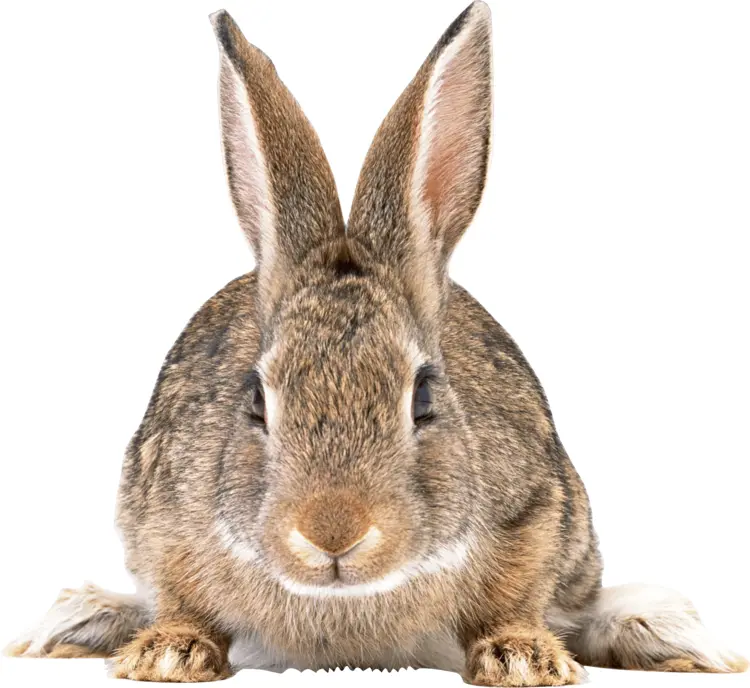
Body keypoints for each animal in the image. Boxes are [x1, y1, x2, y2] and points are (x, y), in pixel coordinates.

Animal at [5, 2, 747, 685]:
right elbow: (182, 597)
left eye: (422, 397)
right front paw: (167, 654)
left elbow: (516, 601)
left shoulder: (538, 514)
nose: (333, 532)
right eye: (256, 400)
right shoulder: (164, 520)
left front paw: (522, 659)